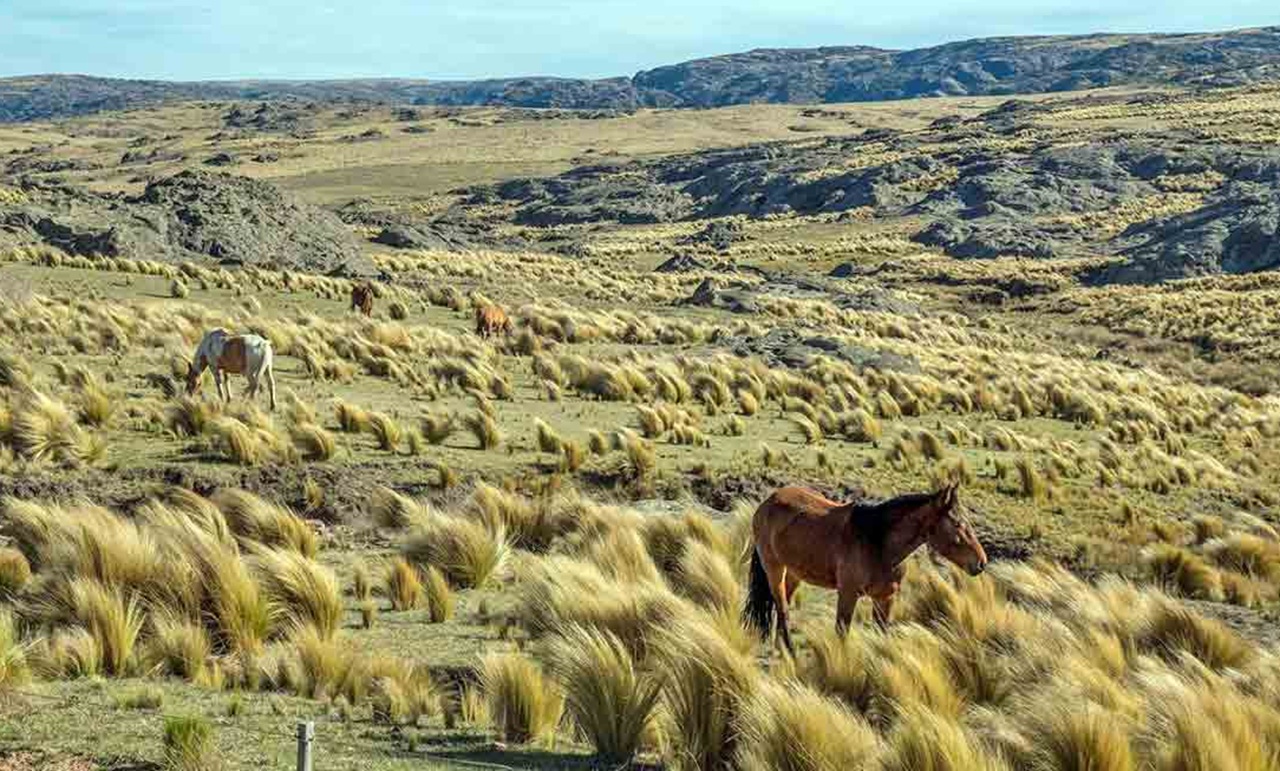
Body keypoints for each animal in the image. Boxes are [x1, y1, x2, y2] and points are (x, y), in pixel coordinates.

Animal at [742, 481, 988, 648]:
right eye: (957, 524)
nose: (981, 562)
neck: (879, 543)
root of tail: (768, 501)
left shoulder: (885, 598)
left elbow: (882, 633)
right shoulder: (848, 595)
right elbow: (842, 632)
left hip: (794, 573)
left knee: (782, 606)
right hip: (775, 569)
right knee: (782, 608)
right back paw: (790, 652)